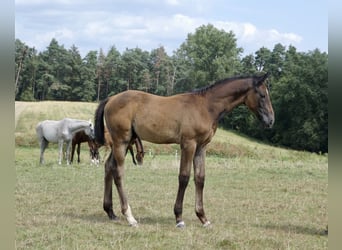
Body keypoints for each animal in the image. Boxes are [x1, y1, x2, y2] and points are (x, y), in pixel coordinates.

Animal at [94, 72, 276, 227]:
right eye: (262, 95)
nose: (271, 120)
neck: (205, 107)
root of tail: (111, 99)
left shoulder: (201, 147)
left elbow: (200, 178)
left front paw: (203, 218)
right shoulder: (188, 144)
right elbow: (184, 177)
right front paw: (179, 218)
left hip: (124, 142)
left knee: (108, 166)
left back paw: (111, 212)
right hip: (121, 141)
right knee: (118, 172)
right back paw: (130, 217)